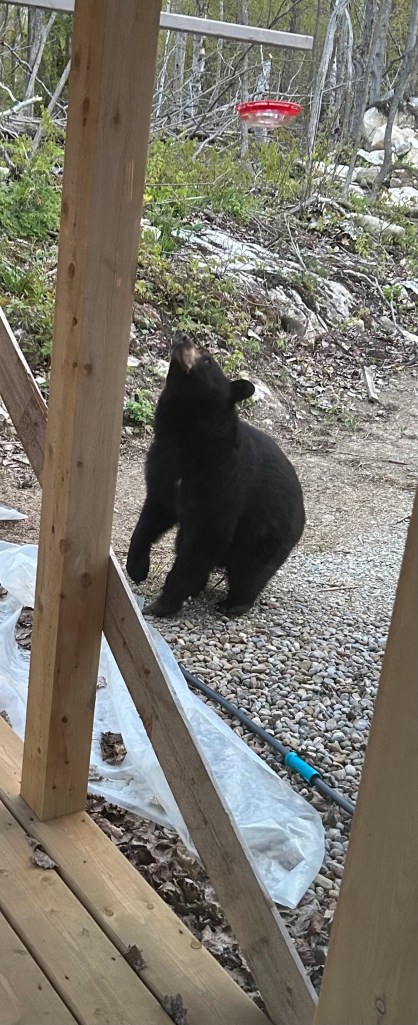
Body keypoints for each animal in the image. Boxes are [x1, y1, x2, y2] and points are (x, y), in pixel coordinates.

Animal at [126, 333, 305, 617]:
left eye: (207, 359)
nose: (183, 337)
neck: (185, 434)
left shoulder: (222, 479)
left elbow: (207, 536)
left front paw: (163, 603)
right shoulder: (162, 465)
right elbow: (154, 513)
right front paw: (137, 568)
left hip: (267, 536)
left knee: (249, 570)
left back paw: (233, 603)